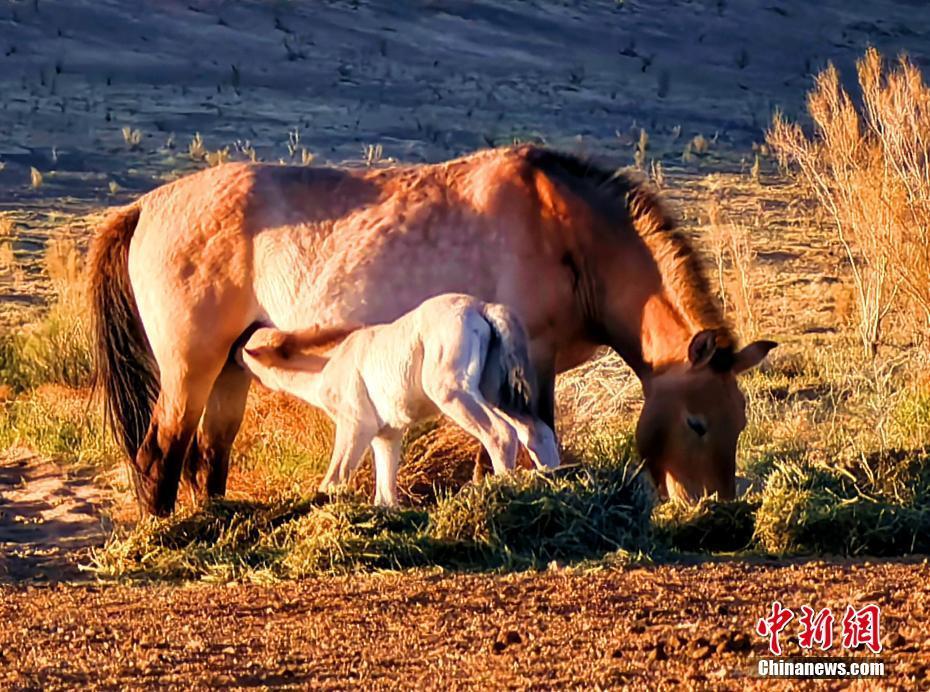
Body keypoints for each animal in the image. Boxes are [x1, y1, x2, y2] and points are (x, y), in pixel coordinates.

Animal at [239, 294, 560, 508]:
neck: (329, 362)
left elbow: (334, 480)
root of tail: (481, 307)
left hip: (452, 393)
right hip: (495, 394)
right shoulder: (387, 435)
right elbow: (385, 496)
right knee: (537, 432)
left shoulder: (356, 424)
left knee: (501, 434)